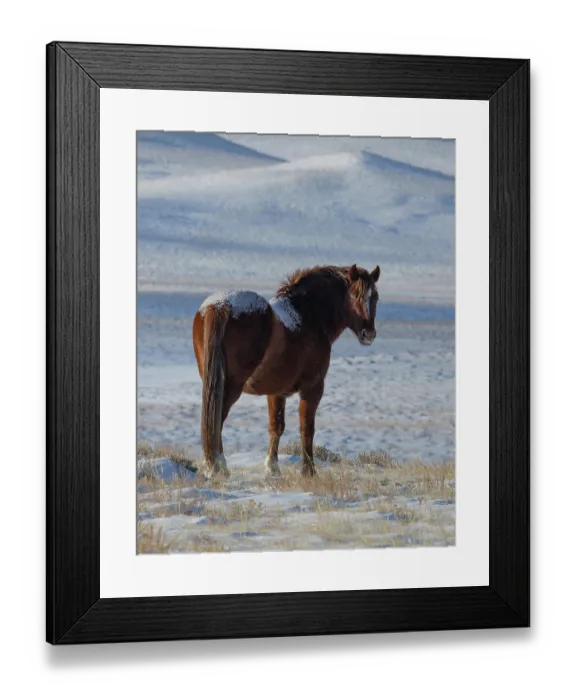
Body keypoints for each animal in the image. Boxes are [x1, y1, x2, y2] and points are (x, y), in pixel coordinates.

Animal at [192, 264, 380, 478]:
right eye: (355, 295)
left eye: (375, 297)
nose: (368, 334)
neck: (307, 316)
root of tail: (219, 306)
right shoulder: (313, 388)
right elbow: (306, 428)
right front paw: (309, 471)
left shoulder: (276, 392)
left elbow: (277, 427)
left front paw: (272, 468)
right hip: (231, 386)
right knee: (218, 420)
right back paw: (219, 467)